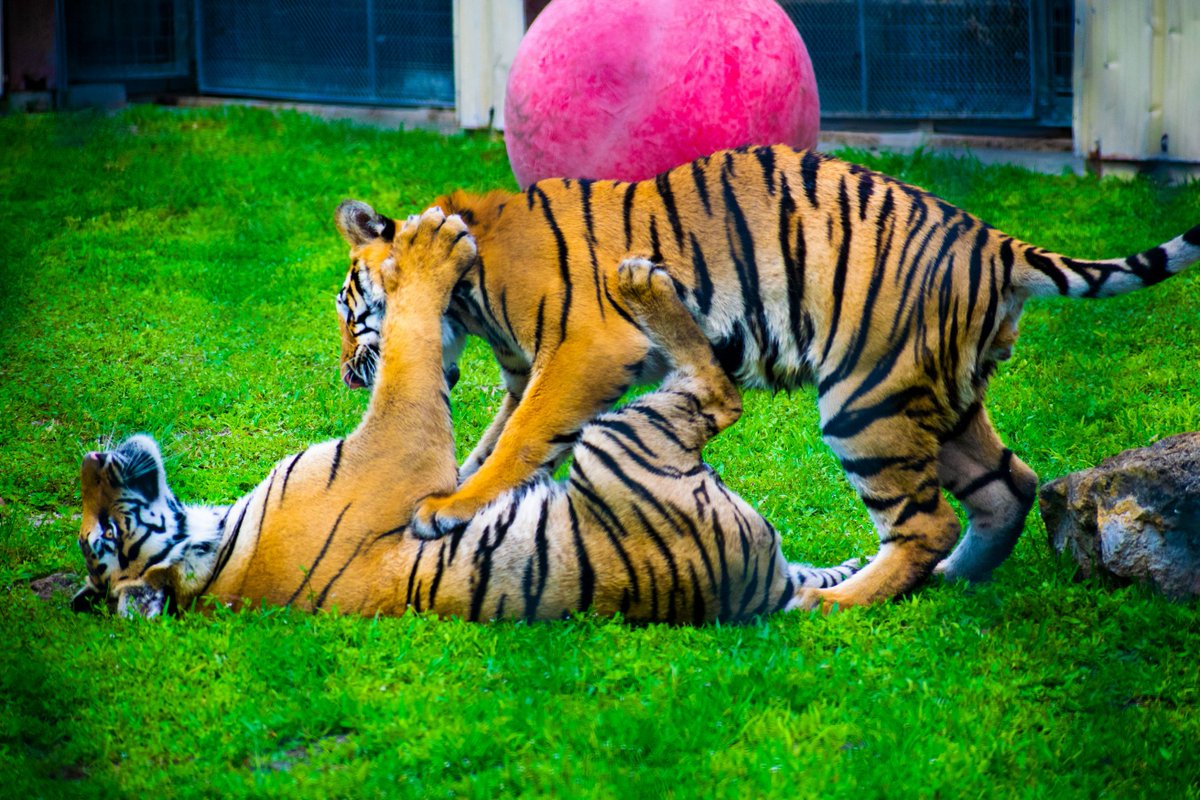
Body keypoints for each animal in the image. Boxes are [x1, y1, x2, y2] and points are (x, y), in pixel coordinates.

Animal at [72, 207, 860, 622]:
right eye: (101, 535)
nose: (94, 460)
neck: (218, 560)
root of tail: (758, 588)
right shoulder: (396, 443)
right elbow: (408, 352)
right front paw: (430, 247)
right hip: (621, 437)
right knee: (718, 392)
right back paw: (641, 283)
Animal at [334, 144, 1200, 612]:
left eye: (350, 309)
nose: (347, 376)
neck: (472, 291)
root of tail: (993, 240)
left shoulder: (576, 355)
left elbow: (517, 442)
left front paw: (447, 509)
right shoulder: (528, 372)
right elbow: (491, 440)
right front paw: (451, 491)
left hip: (865, 400)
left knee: (925, 521)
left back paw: (837, 603)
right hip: (940, 401)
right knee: (1007, 485)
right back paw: (955, 578)